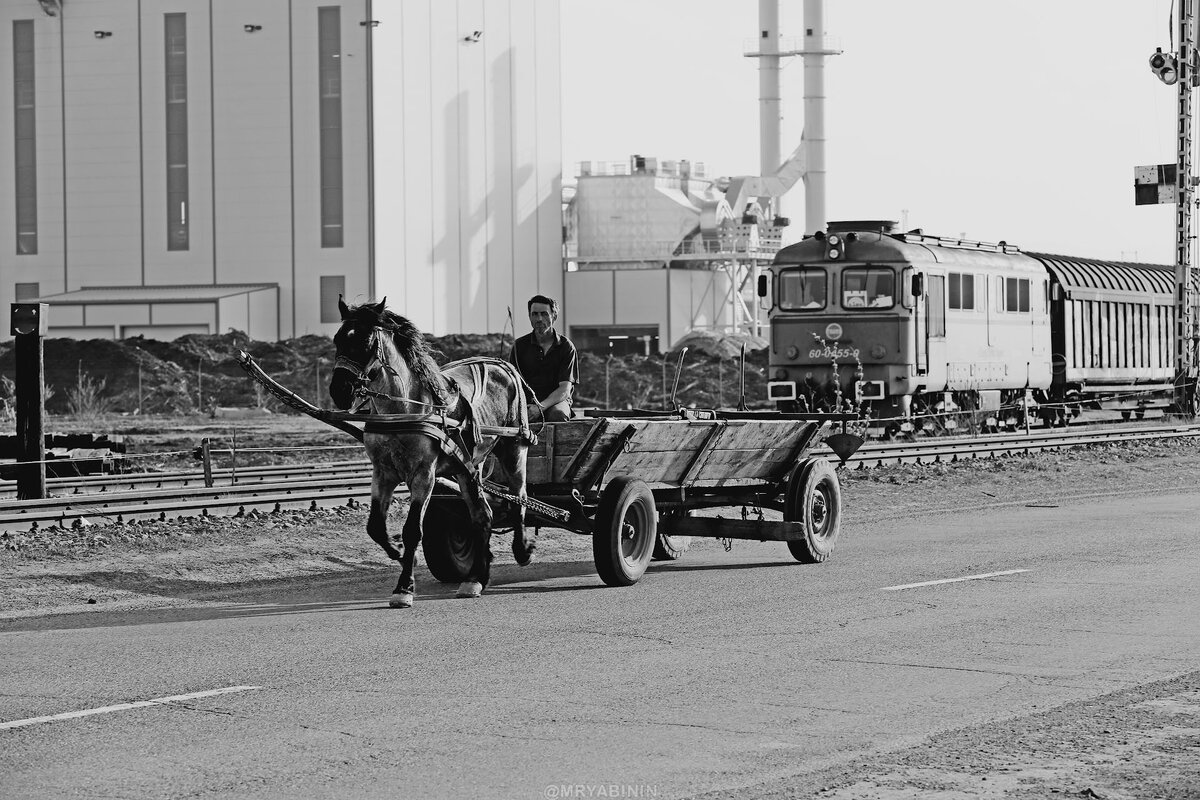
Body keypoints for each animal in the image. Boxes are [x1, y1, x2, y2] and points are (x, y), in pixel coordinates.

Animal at [328, 298, 535, 606]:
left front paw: (404, 587)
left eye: (365, 341)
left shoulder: (424, 475)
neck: (403, 410)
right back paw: (476, 577)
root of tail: (503, 364)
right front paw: (398, 552)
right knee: (482, 515)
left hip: (514, 448)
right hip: (467, 467)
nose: (339, 390)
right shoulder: (383, 472)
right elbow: (375, 526)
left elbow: (413, 529)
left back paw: (521, 549)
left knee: (519, 498)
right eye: (338, 339)